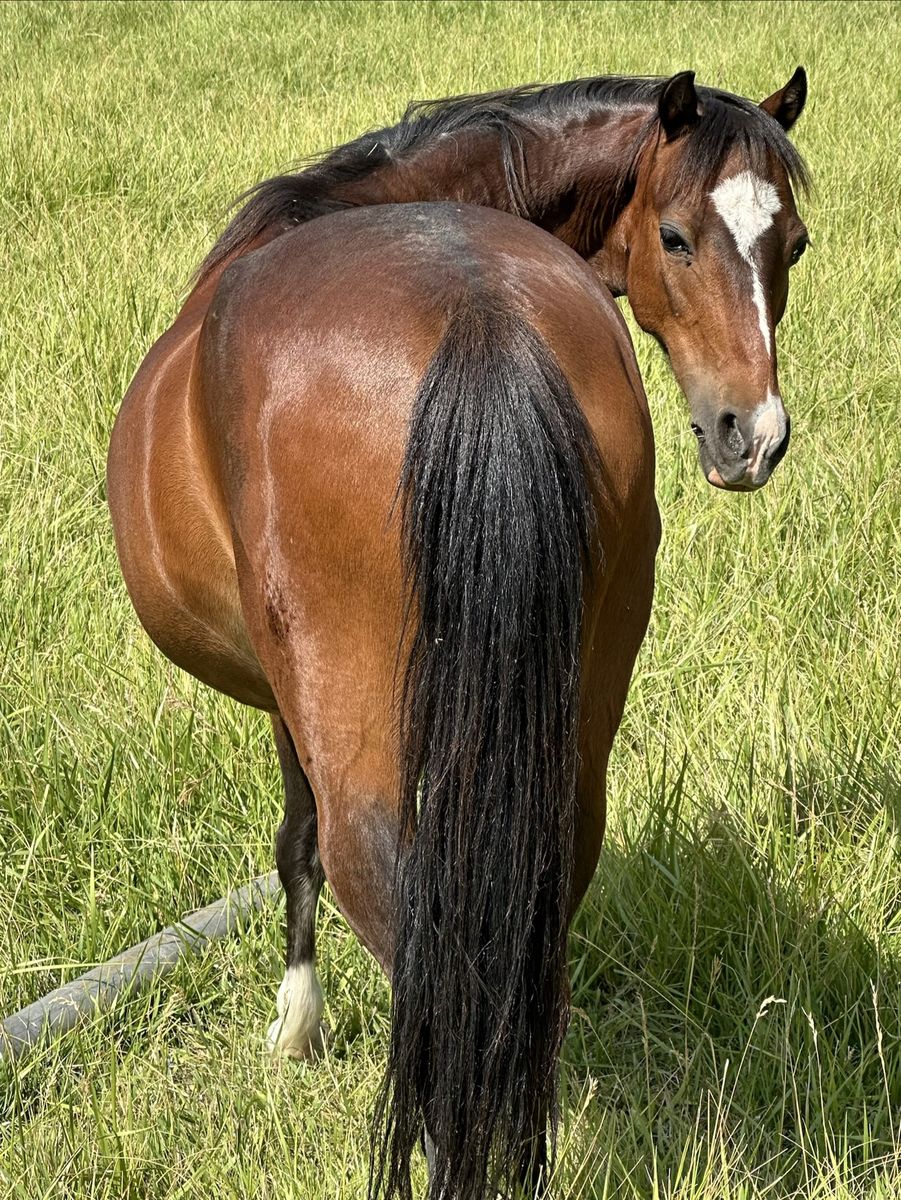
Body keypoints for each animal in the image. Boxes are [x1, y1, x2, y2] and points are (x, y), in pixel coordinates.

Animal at [106, 70, 809, 1200]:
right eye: (676, 237)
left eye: (790, 244)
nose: (754, 434)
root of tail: (479, 315)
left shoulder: (288, 706)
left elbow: (296, 843)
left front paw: (296, 1028)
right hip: (573, 726)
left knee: (392, 915)